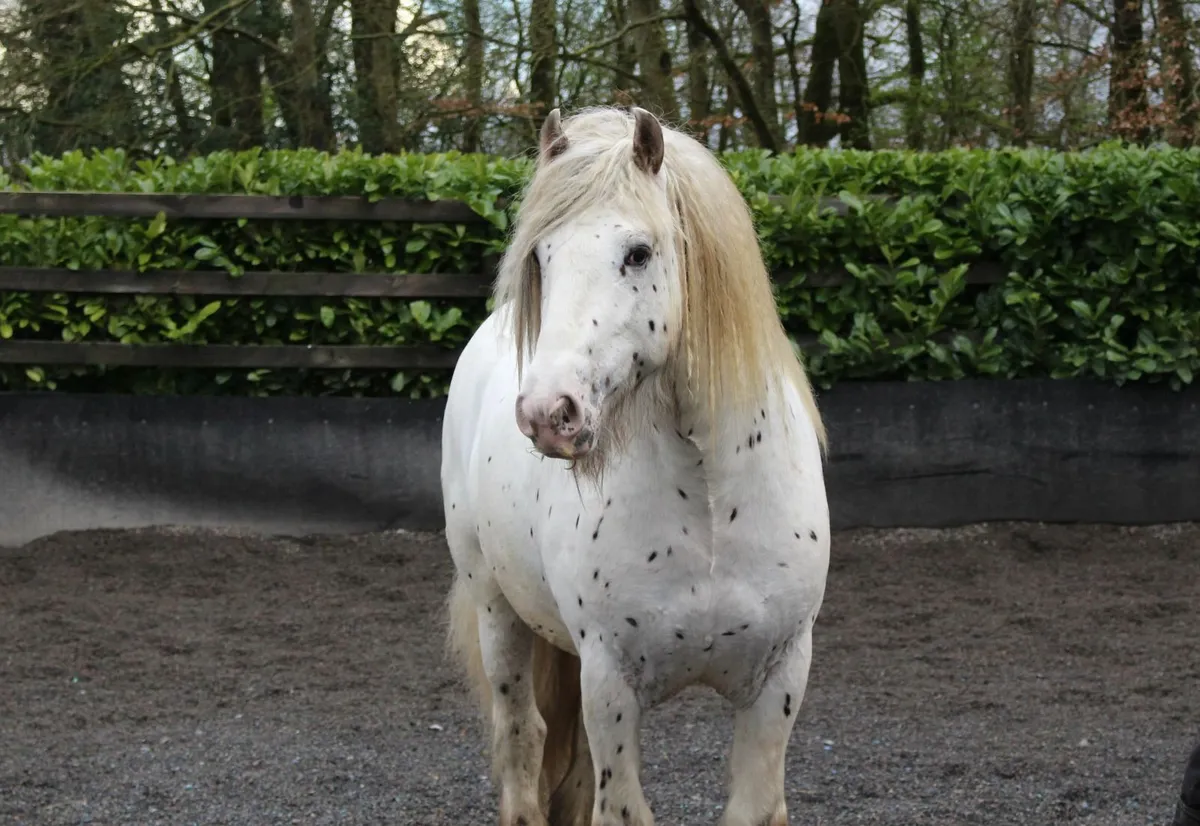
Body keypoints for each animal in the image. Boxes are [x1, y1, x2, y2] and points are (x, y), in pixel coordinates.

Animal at [440, 105, 830, 826]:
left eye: (639, 253)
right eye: (541, 257)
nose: (547, 412)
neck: (710, 502)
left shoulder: (779, 682)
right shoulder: (611, 684)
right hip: (496, 609)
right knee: (521, 737)